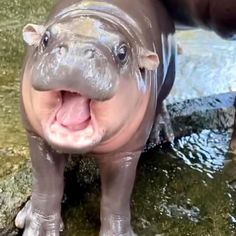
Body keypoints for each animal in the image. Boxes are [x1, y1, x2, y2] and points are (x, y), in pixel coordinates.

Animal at [15, 0, 176, 235]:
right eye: (45, 38)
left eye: (122, 53)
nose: (77, 53)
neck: (97, 15)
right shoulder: (37, 137)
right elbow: (47, 184)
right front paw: (38, 229)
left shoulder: (126, 152)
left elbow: (116, 198)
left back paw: (162, 131)